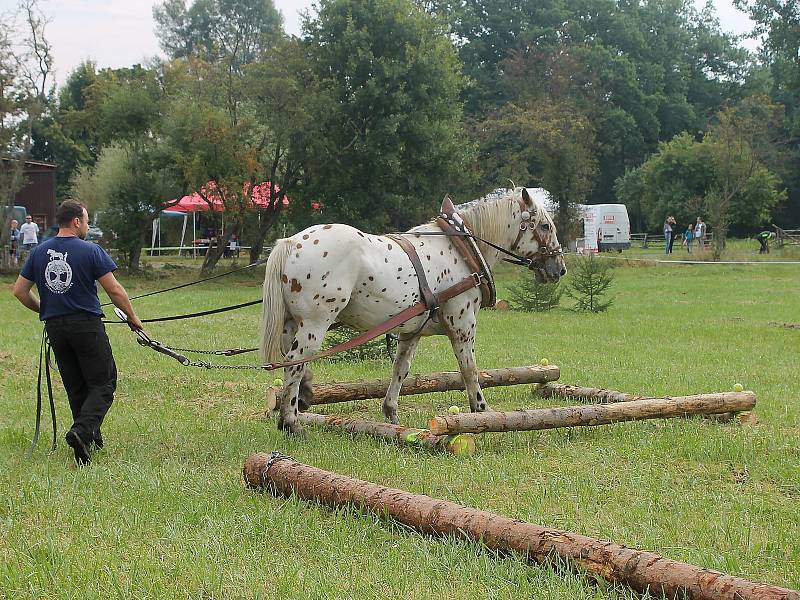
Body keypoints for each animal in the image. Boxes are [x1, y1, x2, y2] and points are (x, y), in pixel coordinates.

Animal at [260, 186, 564, 432]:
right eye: (544, 226)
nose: (559, 268)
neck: (461, 250)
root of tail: (290, 243)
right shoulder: (463, 326)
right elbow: (469, 370)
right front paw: (480, 411)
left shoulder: (410, 333)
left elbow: (400, 369)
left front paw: (391, 414)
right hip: (315, 324)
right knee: (295, 364)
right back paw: (291, 422)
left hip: (292, 324)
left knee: (291, 363)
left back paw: (300, 399)